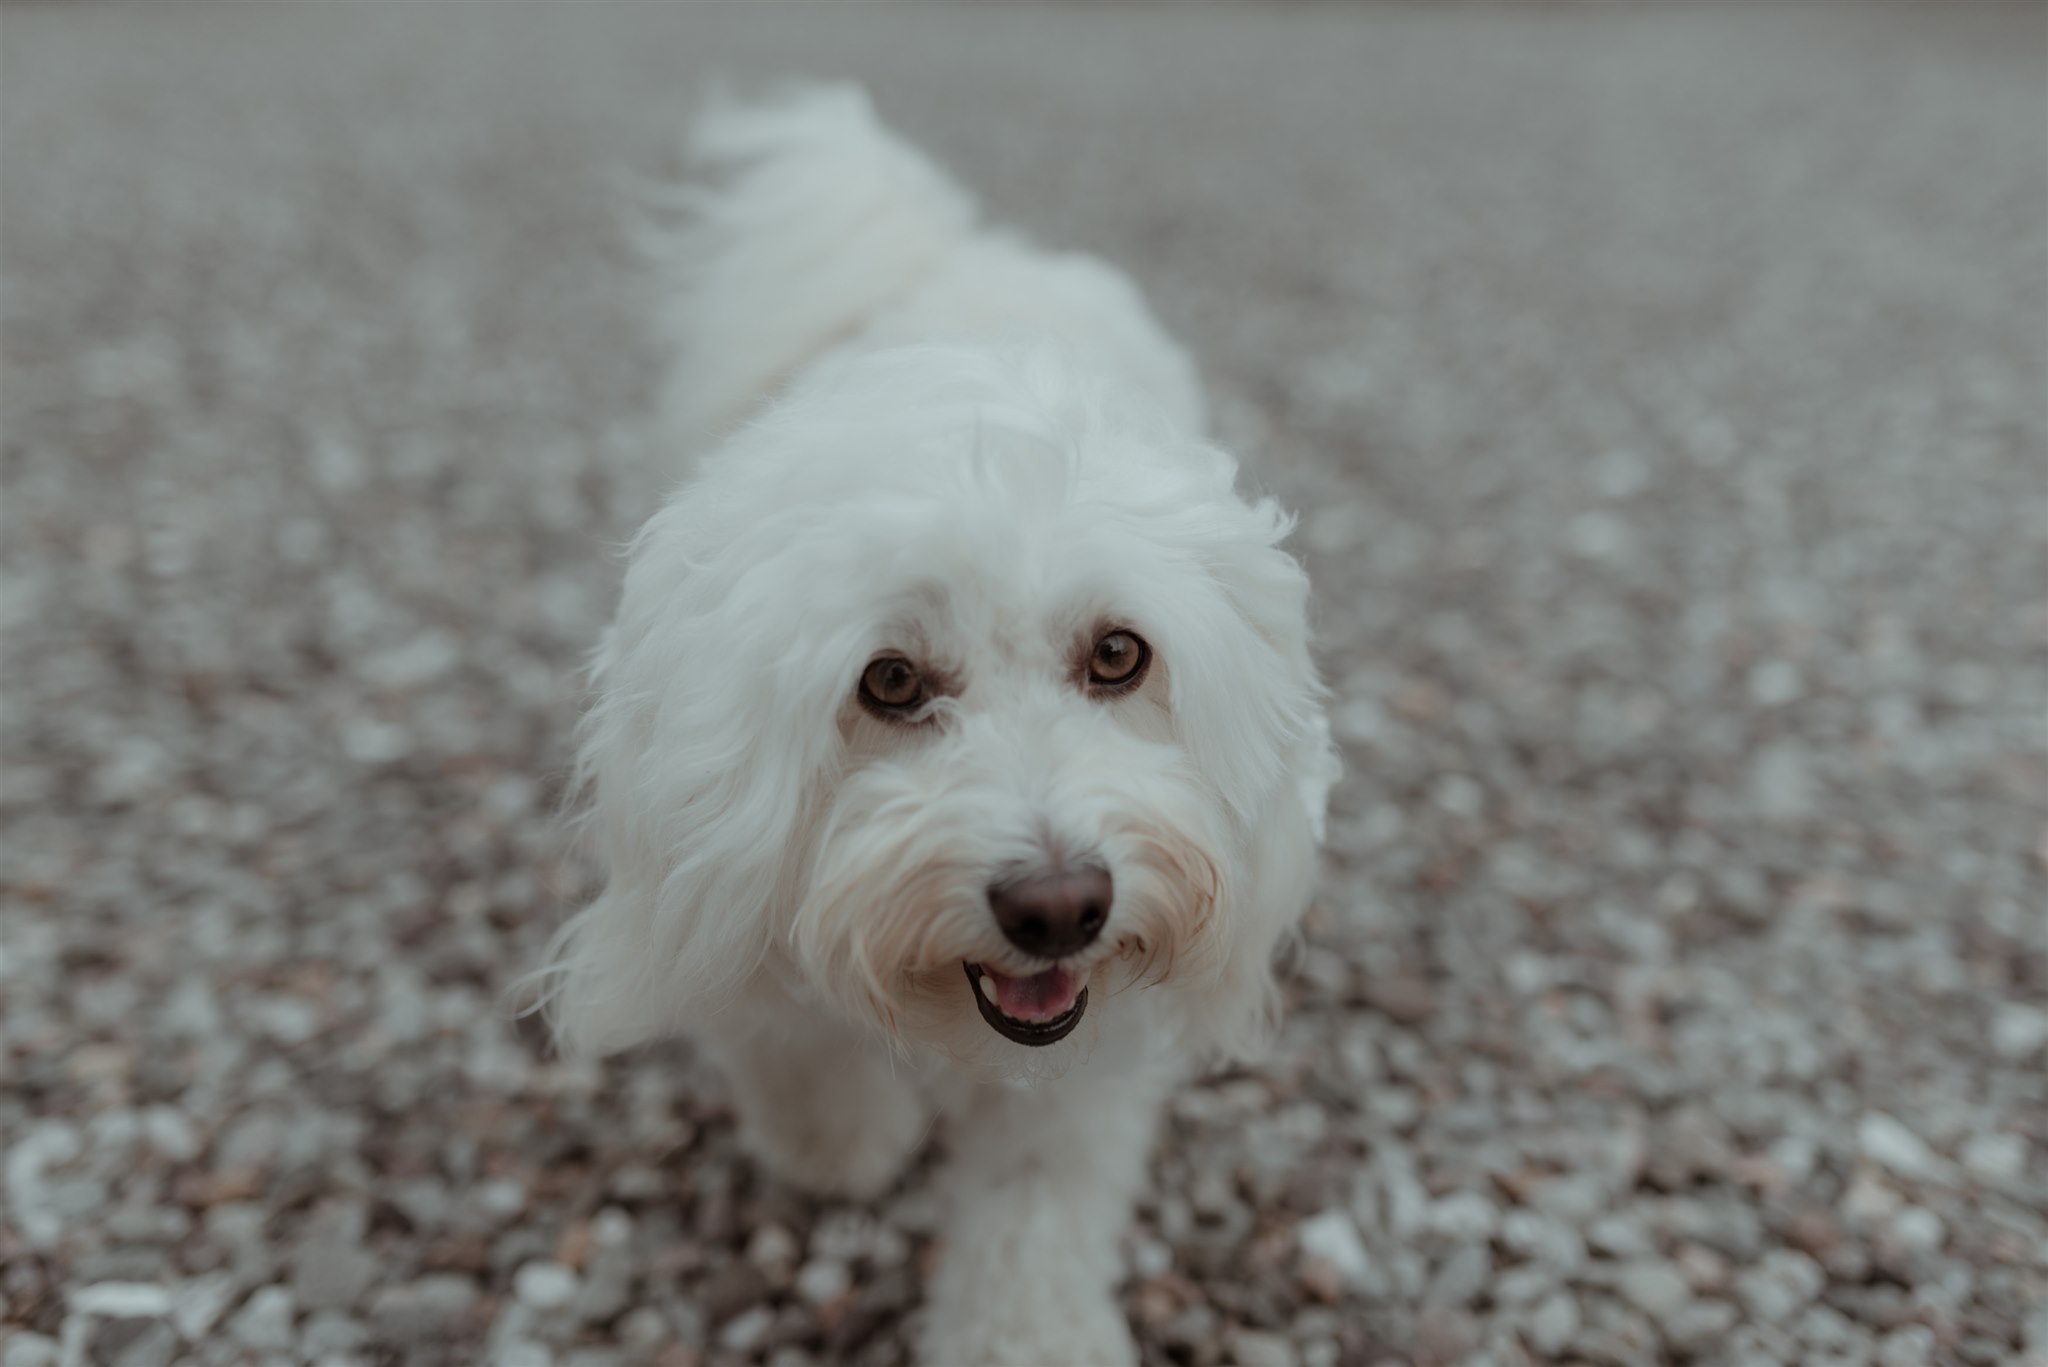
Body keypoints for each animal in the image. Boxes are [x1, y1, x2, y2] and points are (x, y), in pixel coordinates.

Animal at [544, 88, 1335, 1367]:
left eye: (1117, 653)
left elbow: (1037, 1196)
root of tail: (951, 251)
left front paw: (1030, 1333)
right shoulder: (713, 865)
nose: (1060, 907)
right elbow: (786, 1039)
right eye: (890, 681)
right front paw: (837, 1145)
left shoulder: (1084, 1057)